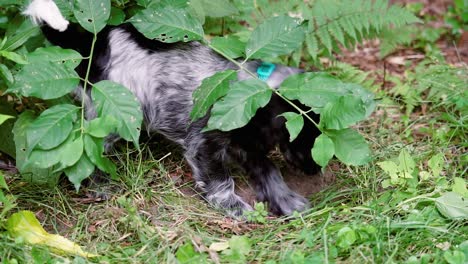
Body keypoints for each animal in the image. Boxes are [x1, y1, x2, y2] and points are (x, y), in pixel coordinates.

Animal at [22, 0, 322, 217]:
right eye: (306, 137)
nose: (315, 171)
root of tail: (95, 47)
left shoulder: (246, 145)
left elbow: (269, 171)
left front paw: (285, 200)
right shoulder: (205, 145)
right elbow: (221, 181)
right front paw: (234, 206)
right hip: (114, 117)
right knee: (90, 150)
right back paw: (101, 185)